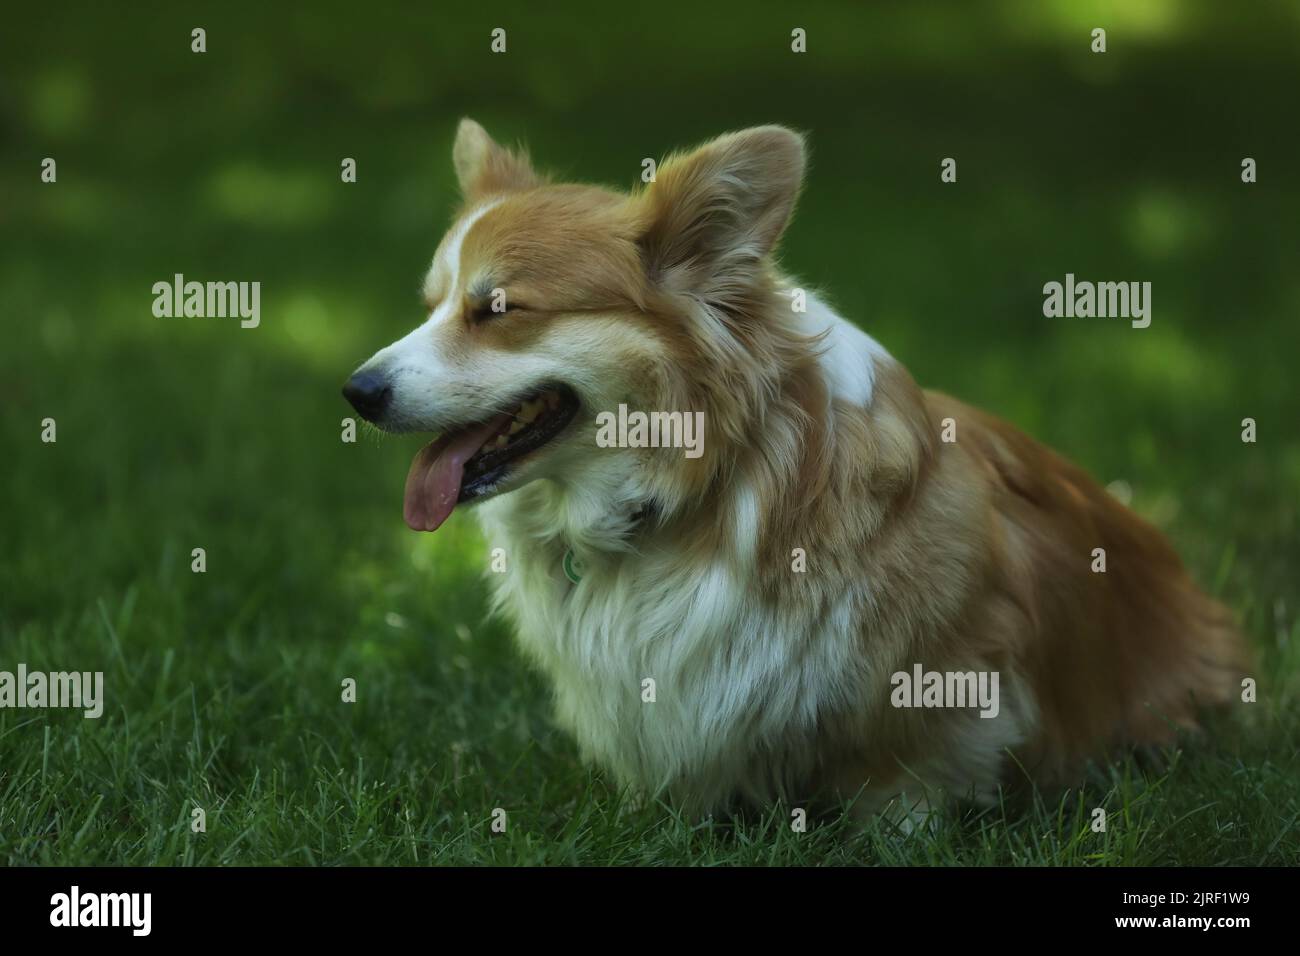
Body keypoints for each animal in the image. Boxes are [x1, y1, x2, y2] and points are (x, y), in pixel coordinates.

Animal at [348, 119, 1248, 822]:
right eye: (431, 305)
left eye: (496, 310)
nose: (356, 391)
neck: (690, 487)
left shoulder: (944, 665)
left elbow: (905, 781)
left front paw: (892, 831)